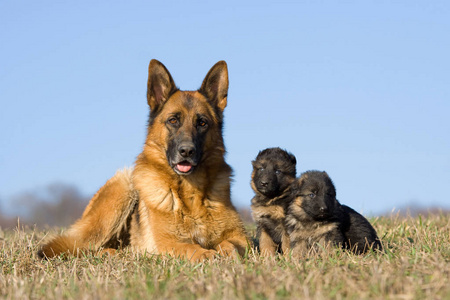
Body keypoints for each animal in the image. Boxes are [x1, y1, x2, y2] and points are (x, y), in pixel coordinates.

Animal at [37, 59, 250, 262]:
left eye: (202, 123)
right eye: (173, 120)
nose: (187, 151)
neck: (190, 194)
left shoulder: (241, 238)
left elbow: (231, 244)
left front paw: (227, 253)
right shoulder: (168, 242)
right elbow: (190, 248)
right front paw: (206, 254)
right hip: (122, 188)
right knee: (84, 248)